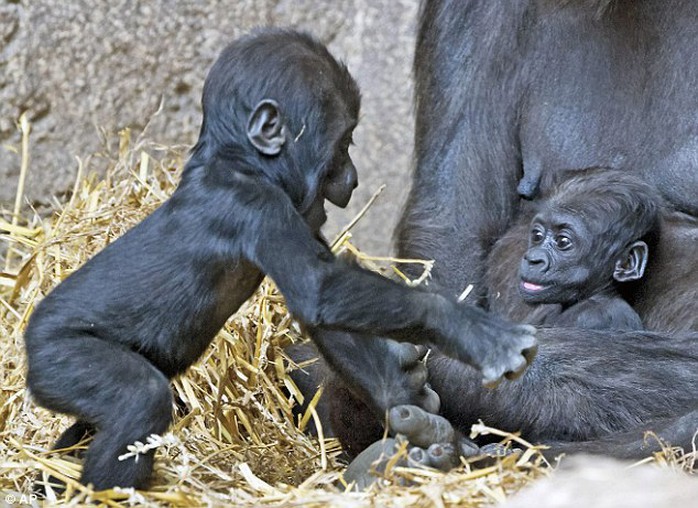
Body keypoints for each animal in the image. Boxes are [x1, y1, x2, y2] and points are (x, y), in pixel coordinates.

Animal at [20, 28, 532, 492]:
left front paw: (409, 407)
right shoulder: (257, 204)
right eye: (344, 143)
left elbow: (327, 312)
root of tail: (27, 341)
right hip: (59, 353)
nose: (352, 179)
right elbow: (320, 290)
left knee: (92, 425)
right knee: (137, 399)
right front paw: (468, 328)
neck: (238, 159)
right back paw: (109, 493)